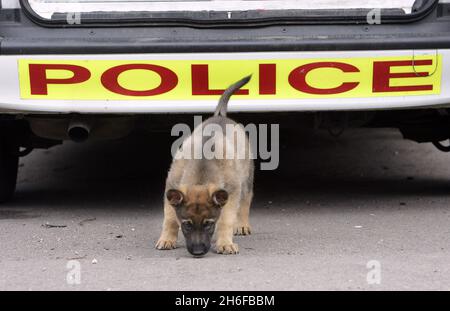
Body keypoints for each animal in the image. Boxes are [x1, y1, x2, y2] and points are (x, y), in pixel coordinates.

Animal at [156, 77, 253, 258]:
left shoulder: (232, 193)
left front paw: (225, 243)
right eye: (187, 224)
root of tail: (221, 115)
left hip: (246, 176)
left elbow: (226, 220)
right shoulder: (171, 185)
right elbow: (170, 218)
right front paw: (167, 239)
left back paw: (242, 224)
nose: (198, 252)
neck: (201, 175)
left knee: (246, 199)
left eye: (209, 224)